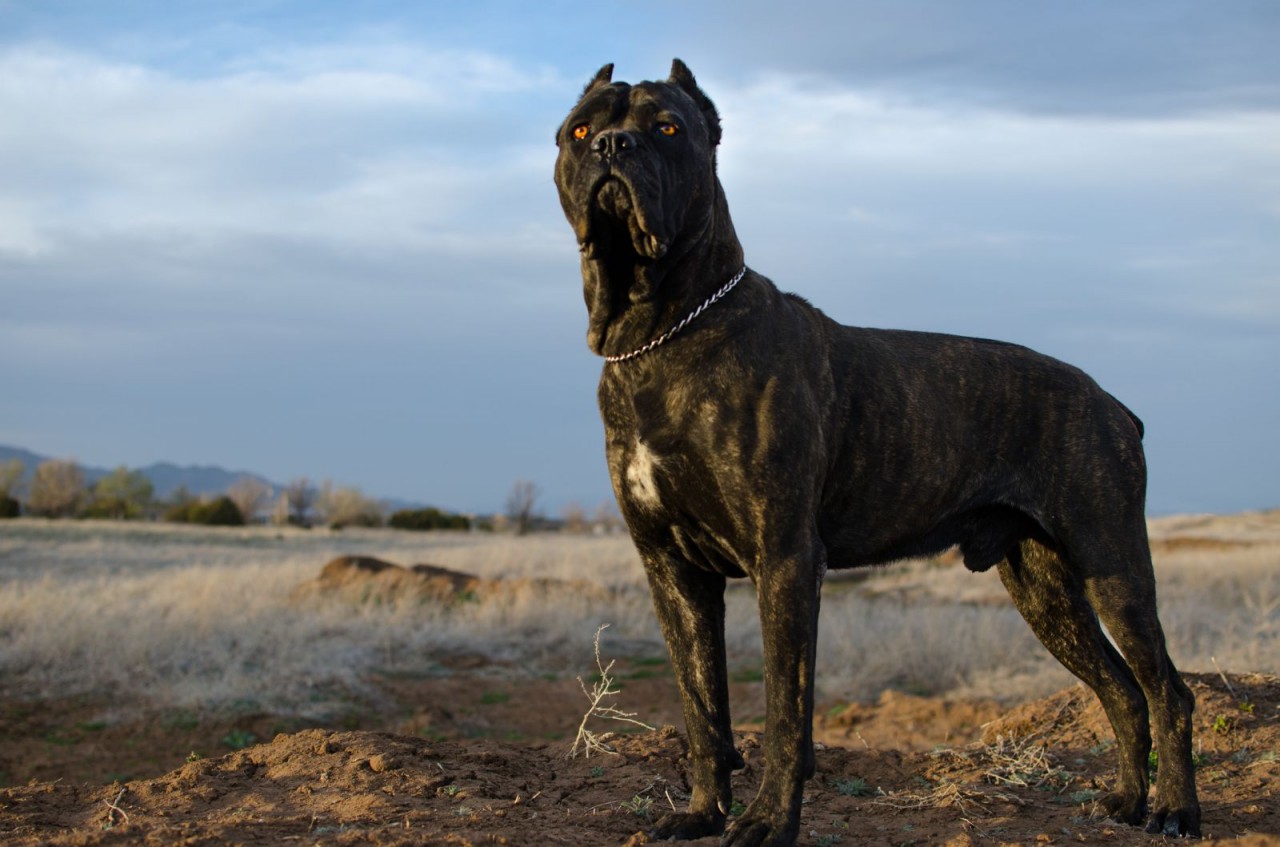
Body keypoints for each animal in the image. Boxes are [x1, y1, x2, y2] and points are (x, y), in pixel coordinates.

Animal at [552, 61, 1198, 847]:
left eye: (669, 127)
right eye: (579, 128)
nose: (612, 146)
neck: (659, 333)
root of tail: (1112, 402)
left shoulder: (786, 560)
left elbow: (785, 710)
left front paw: (768, 823)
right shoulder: (674, 571)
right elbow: (702, 707)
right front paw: (702, 813)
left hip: (1114, 563)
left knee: (1167, 690)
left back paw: (1175, 810)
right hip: (1045, 591)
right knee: (1123, 690)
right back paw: (1128, 801)